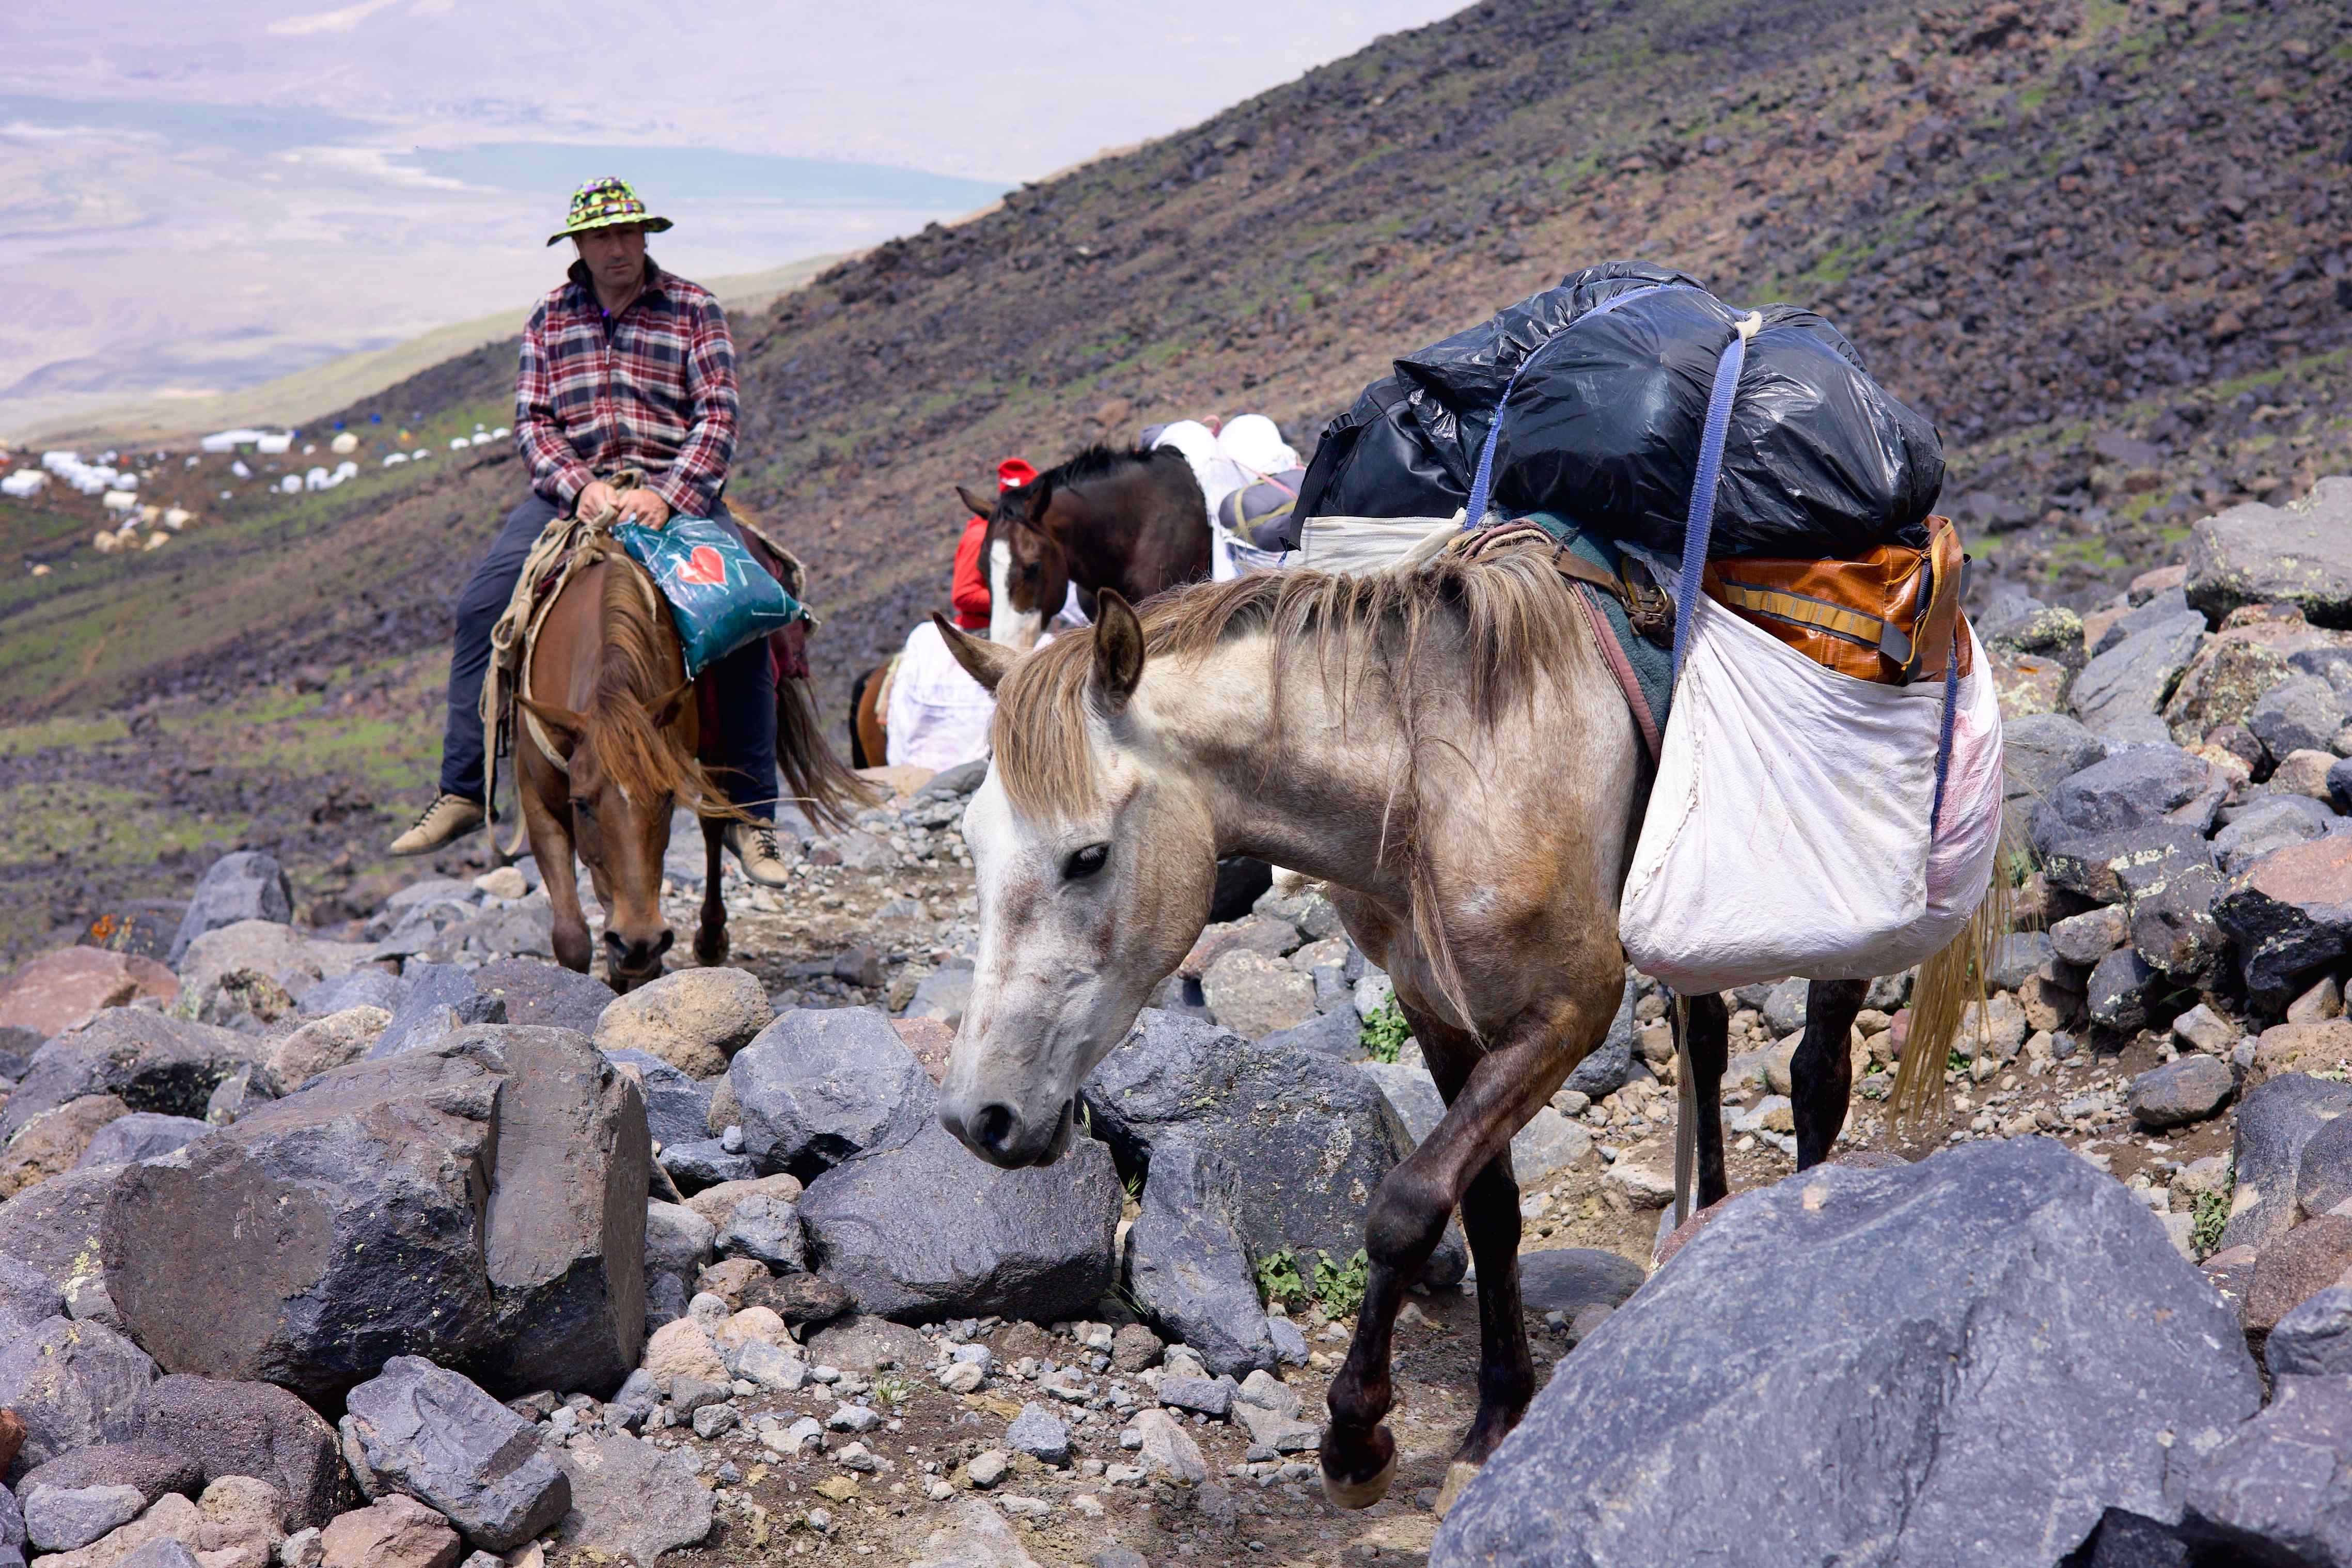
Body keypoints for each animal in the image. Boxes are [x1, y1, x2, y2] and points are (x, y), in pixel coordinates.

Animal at [514, 535, 869, 991]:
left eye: (667, 800)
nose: (640, 940)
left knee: (714, 825)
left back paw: (711, 938)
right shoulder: (537, 801)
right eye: (582, 803)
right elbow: (572, 937)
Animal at [924, 543, 1974, 1509]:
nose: (982, 1119)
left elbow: (1407, 1203)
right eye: (972, 845)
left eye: (1088, 856)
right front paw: (1495, 1415)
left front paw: (1356, 1439)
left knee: (1816, 1071)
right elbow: (1488, 1205)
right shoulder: (1437, 1009)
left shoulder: (1569, 1012)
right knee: (1708, 1039)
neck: (1436, 779)